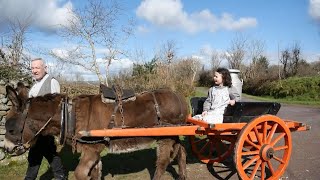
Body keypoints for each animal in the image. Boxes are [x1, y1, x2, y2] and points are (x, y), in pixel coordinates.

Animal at [3, 83, 189, 179]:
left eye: (10, 129)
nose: (6, 149)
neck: (69, 115)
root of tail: (179, 96)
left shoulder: (91, 150)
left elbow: (80, 174)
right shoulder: (93, 150)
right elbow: (94, 173)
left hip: (165, 137)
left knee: (162, 163)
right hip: (173, 136)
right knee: (181, 152)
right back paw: (182, 176)